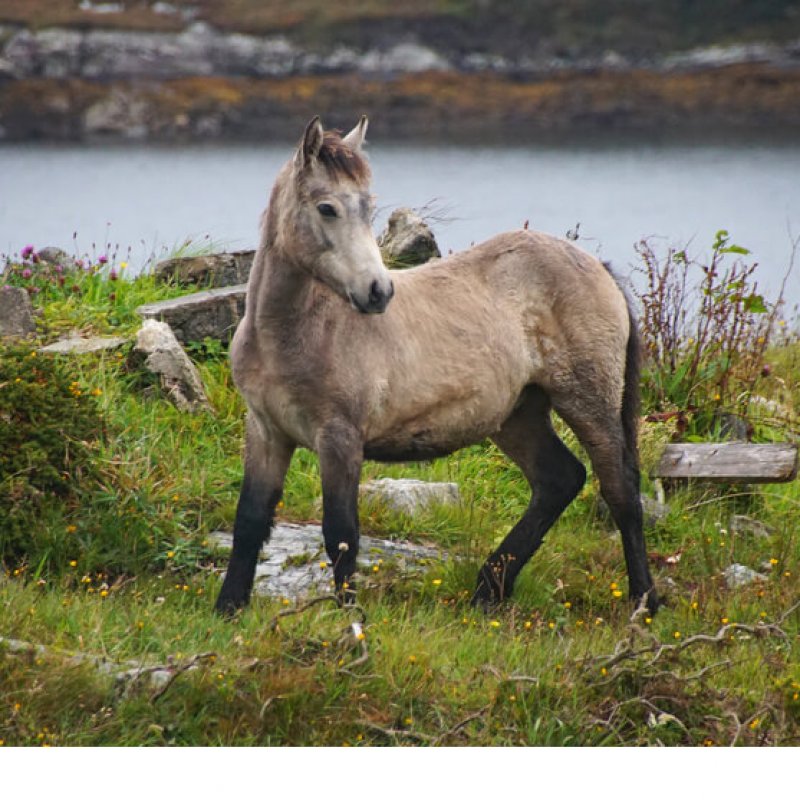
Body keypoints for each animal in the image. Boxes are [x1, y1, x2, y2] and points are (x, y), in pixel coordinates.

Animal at [214, 115, 658, 616]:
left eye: (369, 207)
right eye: (327, 208)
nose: (378, 292)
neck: (292, 333)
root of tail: (599, 269)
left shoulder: (340, 439)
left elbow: (341, 535)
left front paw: (348, 620)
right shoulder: (266, 431)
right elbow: (250, 520)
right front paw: (227, 607)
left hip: (588, 401)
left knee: (620, 490)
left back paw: (644, 601)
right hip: (518, 414)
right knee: (559, 480)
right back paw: (488, 589)